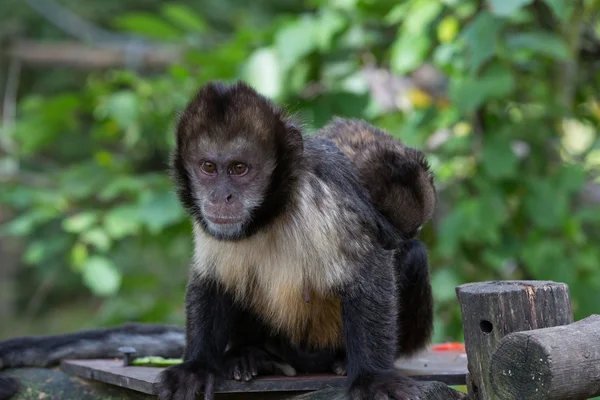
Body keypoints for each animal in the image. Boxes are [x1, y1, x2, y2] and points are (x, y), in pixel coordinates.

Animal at [0, 81, 434, 400]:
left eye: (240, 169)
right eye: (209, 168)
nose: (220, 196)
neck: (271, 214)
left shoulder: (323, 191)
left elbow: (370, 266)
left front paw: (372, 377)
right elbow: (211, 279)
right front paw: (197, 366)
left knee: (411, 253)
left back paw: (340, 359)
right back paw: (251, 355)